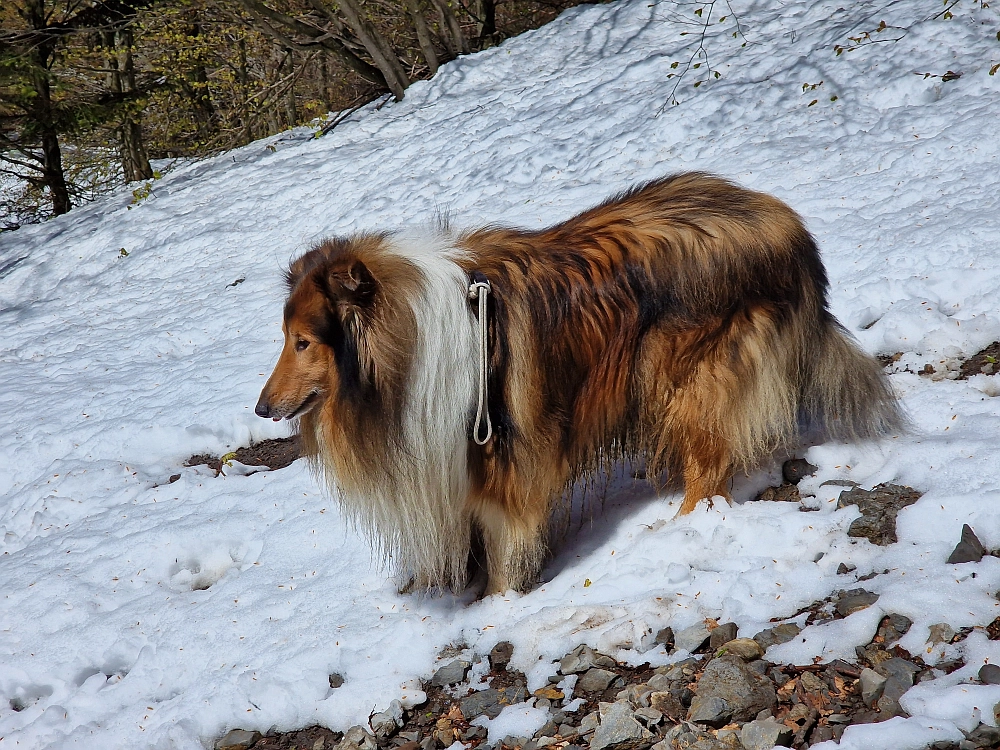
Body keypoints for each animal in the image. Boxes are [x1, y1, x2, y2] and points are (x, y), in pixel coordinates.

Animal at [254, 173, 904, 596]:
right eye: (286, 337)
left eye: (303, 341)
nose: (261, 408)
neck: (404, 348)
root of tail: (784, 223)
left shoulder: (507, 458)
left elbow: (505, 545)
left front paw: (499, 604)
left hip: (688, 379)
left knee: (710, 468)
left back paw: (682, 527)